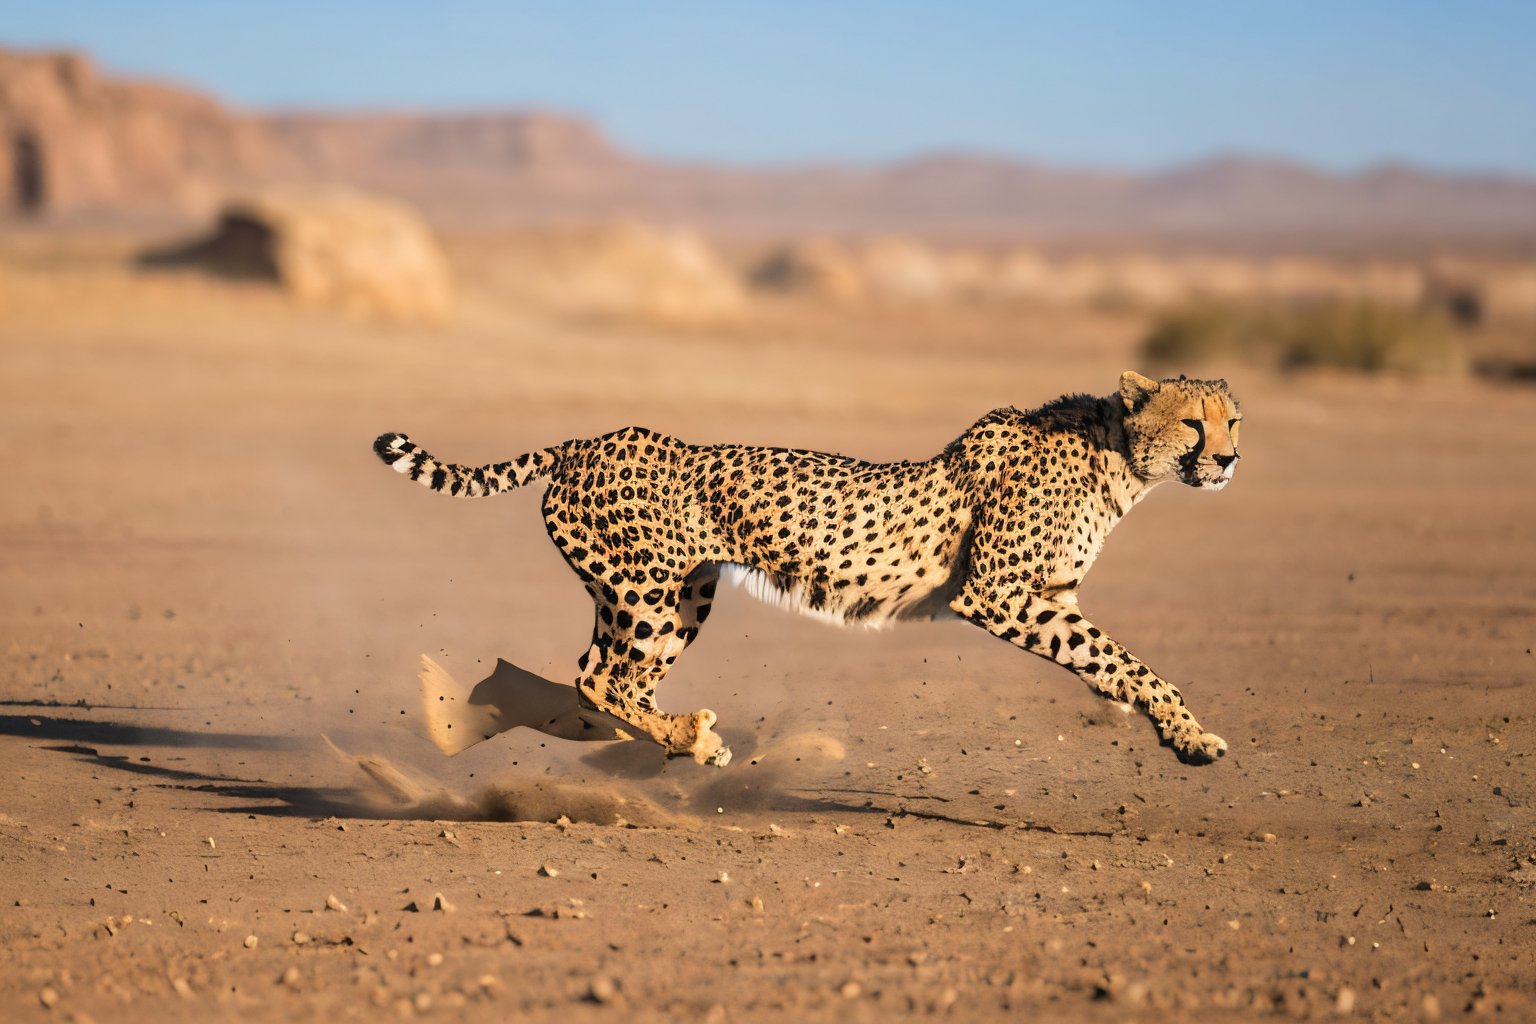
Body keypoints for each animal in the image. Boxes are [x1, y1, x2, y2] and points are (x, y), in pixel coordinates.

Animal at [373, 370, 1241, 769]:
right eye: (1195, 422)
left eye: (1234, 419)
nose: (1230, 459)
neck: (1117, 458)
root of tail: (589, 439)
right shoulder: (996, 595)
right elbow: (1130, 661)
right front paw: (1189, 735)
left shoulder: (1051, 595)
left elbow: (1111, 662)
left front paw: (1156, 721)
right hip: (647, 593)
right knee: (601, 678)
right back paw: (684, 736)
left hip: (680, 595)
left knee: (605, 676)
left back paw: (673, 740)